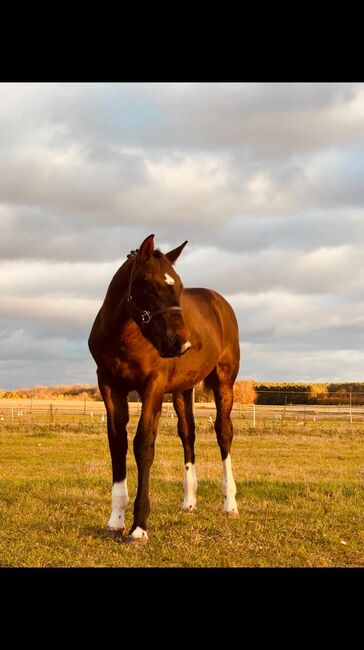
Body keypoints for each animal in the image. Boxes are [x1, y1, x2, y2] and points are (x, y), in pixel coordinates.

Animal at [88, 233, 240, 540]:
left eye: (179, 286)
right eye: (148, 284)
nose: (180, 343)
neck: (125, 337)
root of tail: (220, 302)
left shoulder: (153, 386)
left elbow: (144, 444)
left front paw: (138, 527)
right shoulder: (110, 386)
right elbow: (117, 442)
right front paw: (116, 520)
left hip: (224, 381)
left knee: (224, 432)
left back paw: (230, 503)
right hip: (183, 389)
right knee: (188, 433)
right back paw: (189, 502)